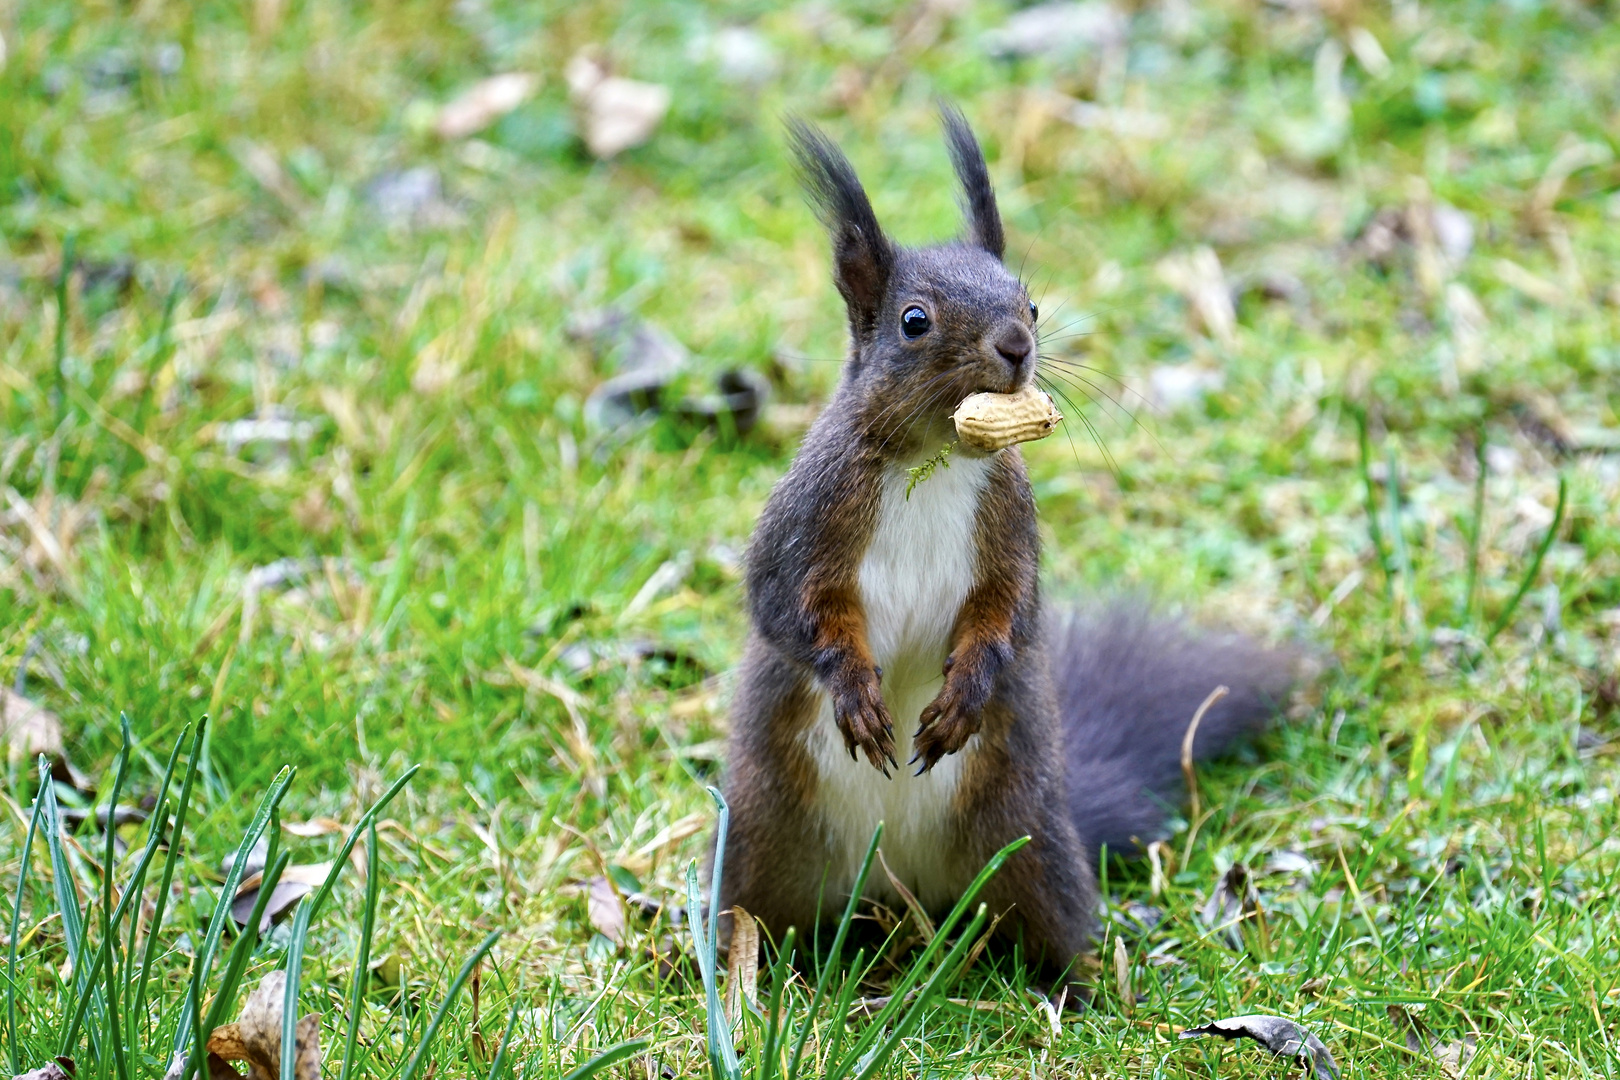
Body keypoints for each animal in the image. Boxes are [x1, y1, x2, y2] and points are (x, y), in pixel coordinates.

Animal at [716, 110, 1296, 977]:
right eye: (913, 321)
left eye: (1030, 302)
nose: (1017, 346)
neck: (935, 459)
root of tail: (893, 889)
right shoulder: (808, 519)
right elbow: (788, 607)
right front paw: (854, 690)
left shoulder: (1010, 522)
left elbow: (1008, 611)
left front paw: (967, 692)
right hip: (756, 841)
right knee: (744, 916)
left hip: (1029, 844)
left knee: (1053, 926)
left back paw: (1081, 987)